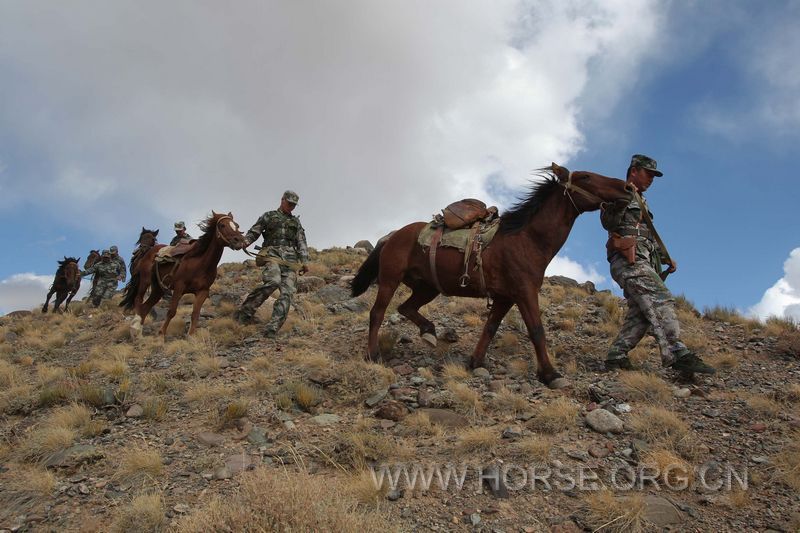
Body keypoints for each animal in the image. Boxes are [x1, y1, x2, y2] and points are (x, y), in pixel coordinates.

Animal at [354, 162, 636, 386]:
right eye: (586, 177)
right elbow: (537, 330)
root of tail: (392, 236)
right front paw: (550, 374)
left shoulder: (505, 298)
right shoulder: (524, 293)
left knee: (406, 308)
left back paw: (429, 332)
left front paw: (476, 362)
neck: (526, 239)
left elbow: (490, 328)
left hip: (428, 288)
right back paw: (373, 354)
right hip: (390, 280)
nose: (628, 188)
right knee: (377, 313)